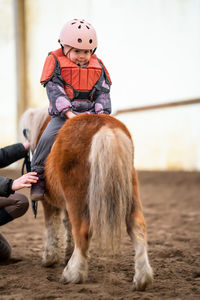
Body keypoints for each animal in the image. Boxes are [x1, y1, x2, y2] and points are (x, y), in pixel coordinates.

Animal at [21, 108, 153, 290]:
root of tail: (105, 127)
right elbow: (67, 224)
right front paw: (67, 254)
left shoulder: (49, 202)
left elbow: (51, 226)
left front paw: (50, 258)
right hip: (129, 192)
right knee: (137, 227)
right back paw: (142, 278)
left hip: (76, 196)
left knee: (83, 231)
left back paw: (73, 274)